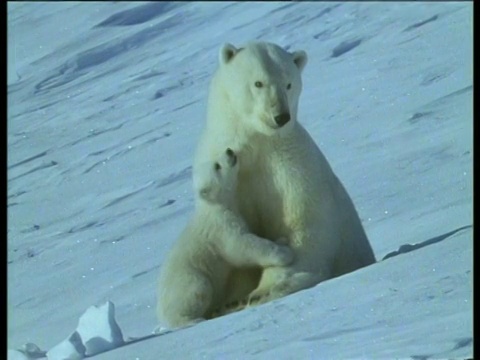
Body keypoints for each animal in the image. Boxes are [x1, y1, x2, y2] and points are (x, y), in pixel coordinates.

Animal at [156, 148, 294, 328]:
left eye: (216, 159)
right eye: (217, 166)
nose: (229, 151)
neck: (214, 206)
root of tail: (159, 310)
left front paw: (281, 239)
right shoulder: (222, 227)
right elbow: (242, 247)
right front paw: (285, 253)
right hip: (187, 280)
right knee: (197, 291)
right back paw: (193, 319)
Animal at [193, 41, 376, 312]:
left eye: (289, 83)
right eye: (258, 83)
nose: (281, 116)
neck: (256, 140)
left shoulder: (291, 164)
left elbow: (302, 223)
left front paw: (263, 291)